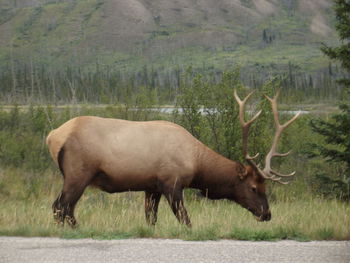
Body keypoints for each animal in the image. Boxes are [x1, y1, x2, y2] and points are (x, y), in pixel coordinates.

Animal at [45, 89, 300, 228]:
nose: (266, 214)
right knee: (61, 206)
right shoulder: (172, 183)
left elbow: (151, 219)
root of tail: (52, 136)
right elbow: (186, 220)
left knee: (66, 208)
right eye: (255, 187)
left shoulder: (152, 187)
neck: (197, 163)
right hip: (79, 173)